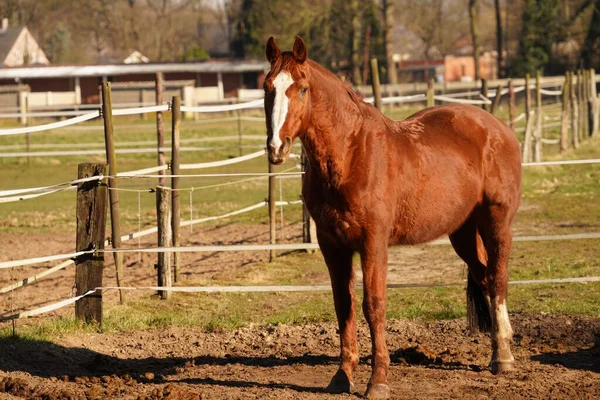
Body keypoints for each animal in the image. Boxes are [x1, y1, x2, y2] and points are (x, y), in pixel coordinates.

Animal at [262, 36, 520, 398]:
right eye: (268, 87)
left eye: (301, 88)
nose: (276, 147)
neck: (350, 152)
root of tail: (497, 127)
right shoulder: (332, 245)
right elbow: (344, 306)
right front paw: (342, 376)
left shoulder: (373, 242)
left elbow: (374, 305)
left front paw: (378, 380)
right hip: (463, 232)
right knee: (483, 276)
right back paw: (496, 349)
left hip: (497, 223)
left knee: (497, 280)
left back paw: (504, 357)